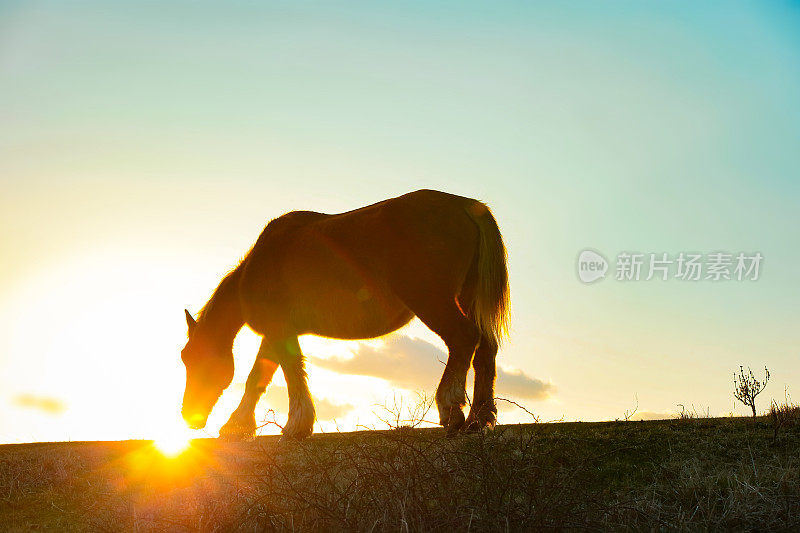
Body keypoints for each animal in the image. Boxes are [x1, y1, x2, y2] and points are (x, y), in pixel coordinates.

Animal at [179, 189, 510, 438]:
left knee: (463, 339)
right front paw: (238, 425)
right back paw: (479, 418)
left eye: (192, 358)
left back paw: (451, 410)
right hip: (468, 300)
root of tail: (466, 206)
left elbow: (288, 372)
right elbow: (259, 377)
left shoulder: (279, 331)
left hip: (433, 302)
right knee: (486, 349)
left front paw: (295, 425)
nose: (188, 416)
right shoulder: (276, 333)